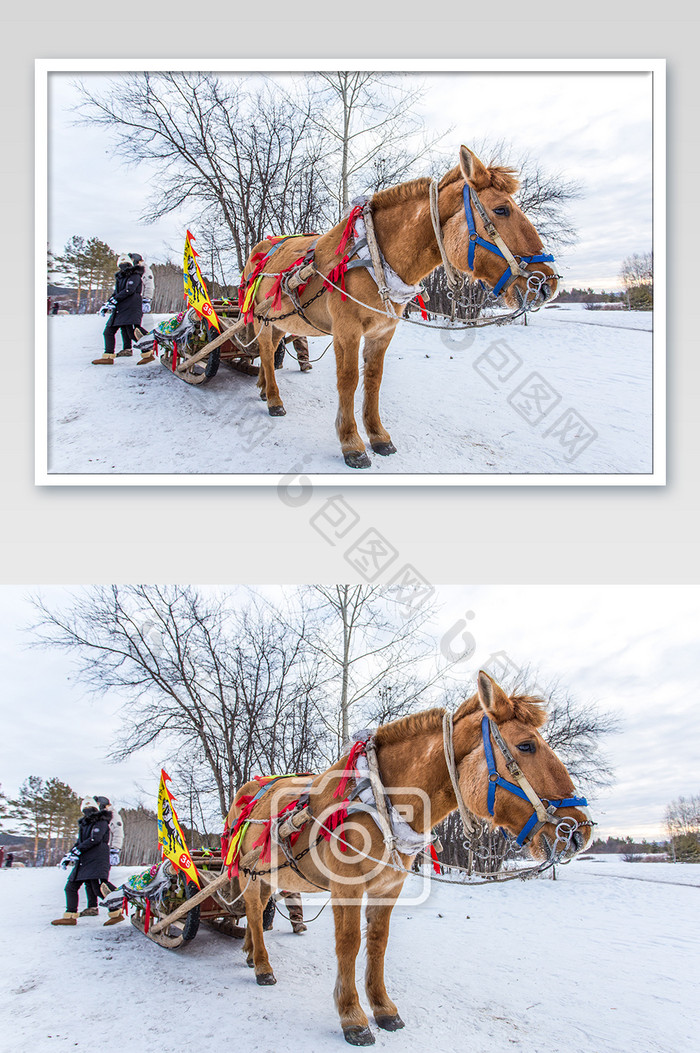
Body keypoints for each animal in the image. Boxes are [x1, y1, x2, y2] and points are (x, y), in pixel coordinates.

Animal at [224, 673, 589, 1044]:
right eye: (527, 745)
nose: (579, 831)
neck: (378, 800)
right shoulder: (347, 888)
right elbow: (349, 944)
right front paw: (352, 1015)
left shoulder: (388, 888)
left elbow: (378, 943)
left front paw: (383, 1008)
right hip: (247, 872)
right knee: (253, 911)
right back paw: (263, 966)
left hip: (266, 875)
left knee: (257, 912)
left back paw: (251, 953)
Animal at [240, 145, 555, 469]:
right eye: (502, 209)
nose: (547, 283)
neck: (373, 256)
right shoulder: (346, 331)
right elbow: (348, 380)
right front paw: (351, 442)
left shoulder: (383, 332)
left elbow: (373, 380)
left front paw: (378, 436)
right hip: (260, 317)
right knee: (266, 351)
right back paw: (274, 399)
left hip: (280, 320)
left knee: (269, 352)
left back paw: (264, 388)